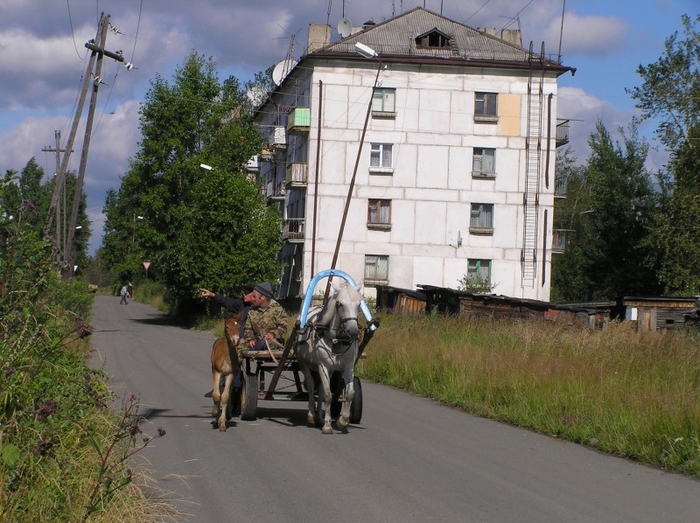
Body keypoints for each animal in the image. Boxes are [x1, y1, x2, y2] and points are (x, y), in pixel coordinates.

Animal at [296, 280, 364, 436]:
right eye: (340, 304)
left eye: (359, 304)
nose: (353, 331)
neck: (337, 340)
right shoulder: (323, 366)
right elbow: (328, 395)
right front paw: (327, 426)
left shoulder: (348, 368)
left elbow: (350, 393)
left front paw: (343, 421)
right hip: (304, 364)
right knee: (311, 385)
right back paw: (312, 414)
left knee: (320, 389)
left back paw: (320, 417)